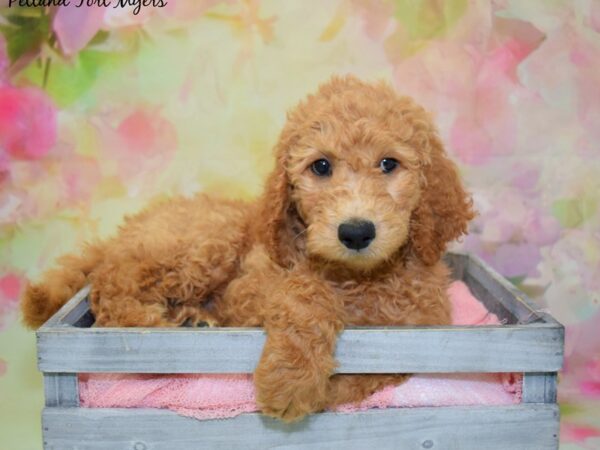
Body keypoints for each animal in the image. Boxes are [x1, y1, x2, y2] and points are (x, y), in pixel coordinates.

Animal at [22, 75, 474, 424]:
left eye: (389, 164)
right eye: (321, 166)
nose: (356, 232)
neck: (360, 278)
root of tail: (126, 230)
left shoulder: (422, 325)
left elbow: (383, 370)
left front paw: (328, 391)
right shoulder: (251, 290)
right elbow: (306, 295)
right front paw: (292, 380)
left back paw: (191, 319)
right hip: (206, 242)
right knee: (112, 288)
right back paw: (157, 324)